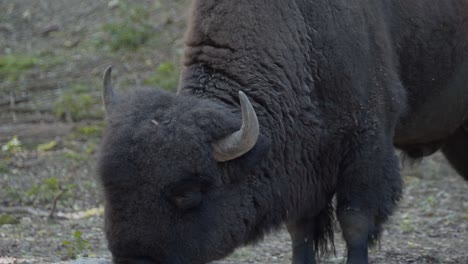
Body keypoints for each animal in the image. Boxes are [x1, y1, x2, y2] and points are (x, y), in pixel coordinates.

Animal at [97, 0, 466, 264]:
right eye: (108, 188)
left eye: (188, 194)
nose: (133, 260)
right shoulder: (303, 169)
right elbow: (300, 233)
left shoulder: (366, 147)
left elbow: (355, 223)